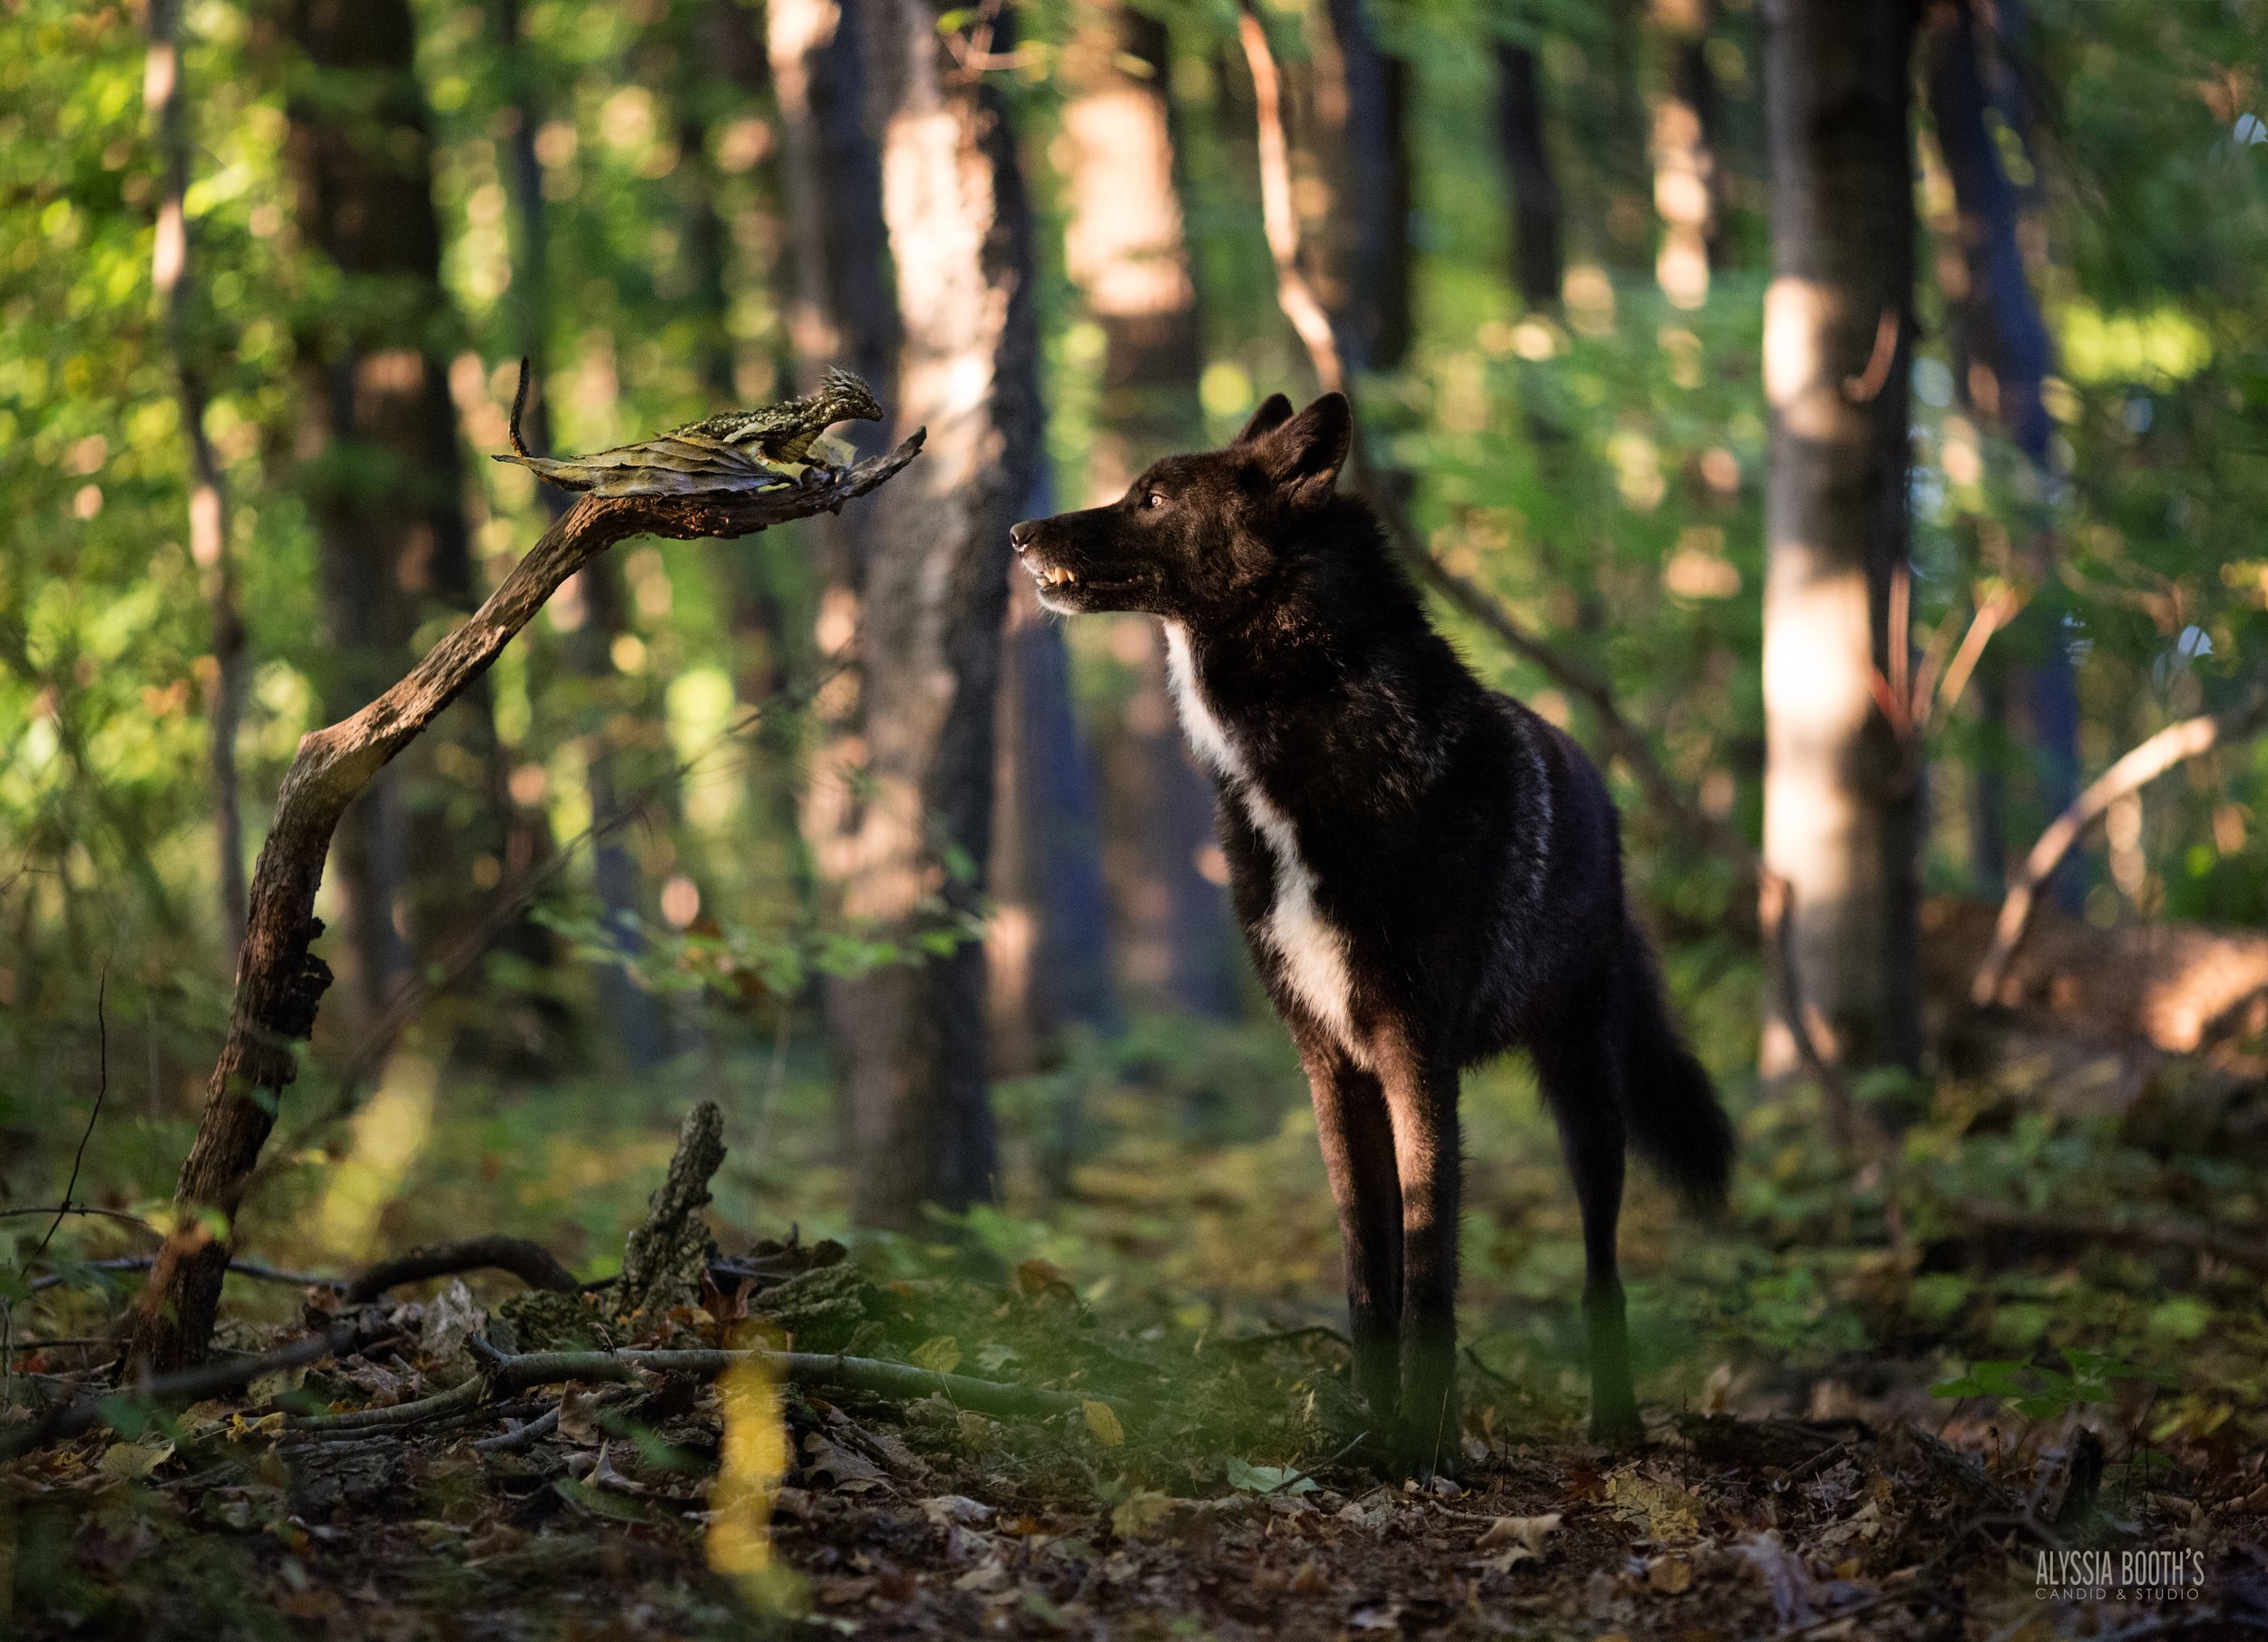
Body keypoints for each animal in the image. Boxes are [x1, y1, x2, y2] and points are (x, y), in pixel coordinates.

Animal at [1012, 392, 1733, 1470]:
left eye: (1154, 497)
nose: (1019, 533)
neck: (1308, 735)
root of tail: (1598, 789)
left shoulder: (1414, 1057)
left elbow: (1430, 1274)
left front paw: (1426, 1451)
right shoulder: (1331, 1064)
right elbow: (1368, 1280)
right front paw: (1369, 1434)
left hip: (1586, 1096)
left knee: (1600, 1268)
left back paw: (1615, 1424)